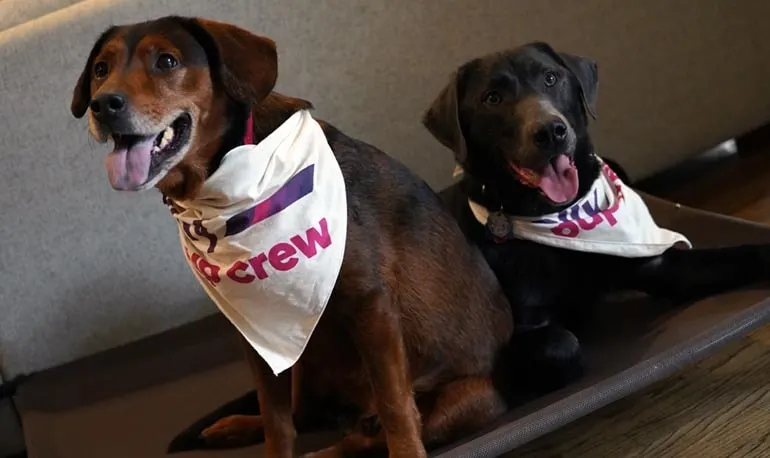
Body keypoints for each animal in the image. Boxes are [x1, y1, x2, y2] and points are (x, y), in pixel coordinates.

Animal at [72, 16, 516, 456]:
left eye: (166, 61)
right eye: (101, 70)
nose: (103, 105)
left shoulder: (371, 307)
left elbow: (395, 406)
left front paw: (405, 449)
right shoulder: (255, 329)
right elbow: (276, 418)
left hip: (468, 397)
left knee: (371, 433)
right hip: (299, 356)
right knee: (304, 414)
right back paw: (237, 425)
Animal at [424, 43, 768, 394]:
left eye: (551, 78)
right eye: (492, 98)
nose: (551, 131)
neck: (558, 217)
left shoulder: (656, 263)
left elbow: (745, 253)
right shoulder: (510, 343)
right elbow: (562, 343)